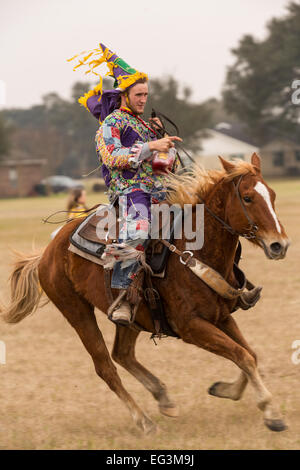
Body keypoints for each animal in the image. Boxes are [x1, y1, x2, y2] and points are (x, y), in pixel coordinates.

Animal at [1, 153, 290, 434]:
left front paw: (224, 389)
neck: (196, 250)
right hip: (76, 311)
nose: (280, 245)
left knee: (122, 354)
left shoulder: (221, 317)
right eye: (248, 197)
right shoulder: (191, 326)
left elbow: (249, 354)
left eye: (273, 195)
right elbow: (242, 355)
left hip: (133, 316)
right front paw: (271, 413)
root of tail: (46, 253)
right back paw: (144, 421)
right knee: (106, 366)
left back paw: (163, 398)